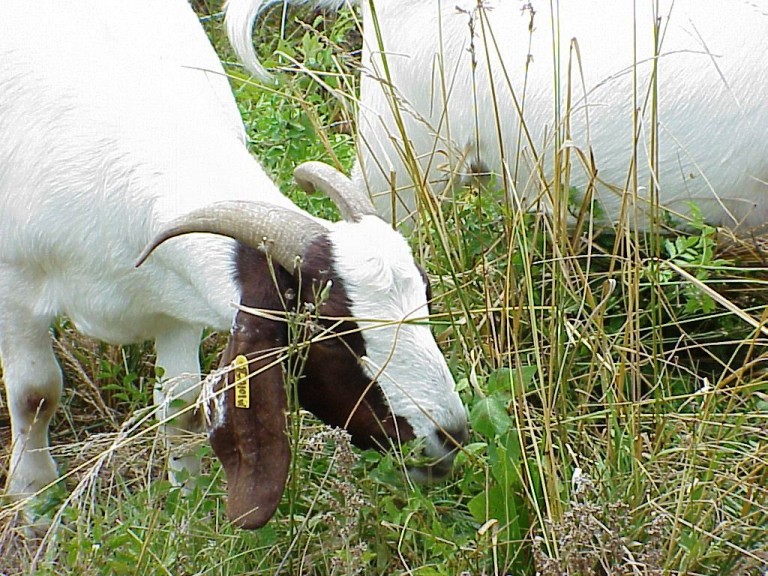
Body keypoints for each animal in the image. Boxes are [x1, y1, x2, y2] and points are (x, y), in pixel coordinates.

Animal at [0, 0, 467, 530]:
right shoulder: (15, 291)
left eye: (427, 297)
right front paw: (35, 508)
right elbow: (35, 396)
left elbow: (181, 407)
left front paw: (186, 507)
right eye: (332, 332)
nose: (450, 436)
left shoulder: (174, 303)